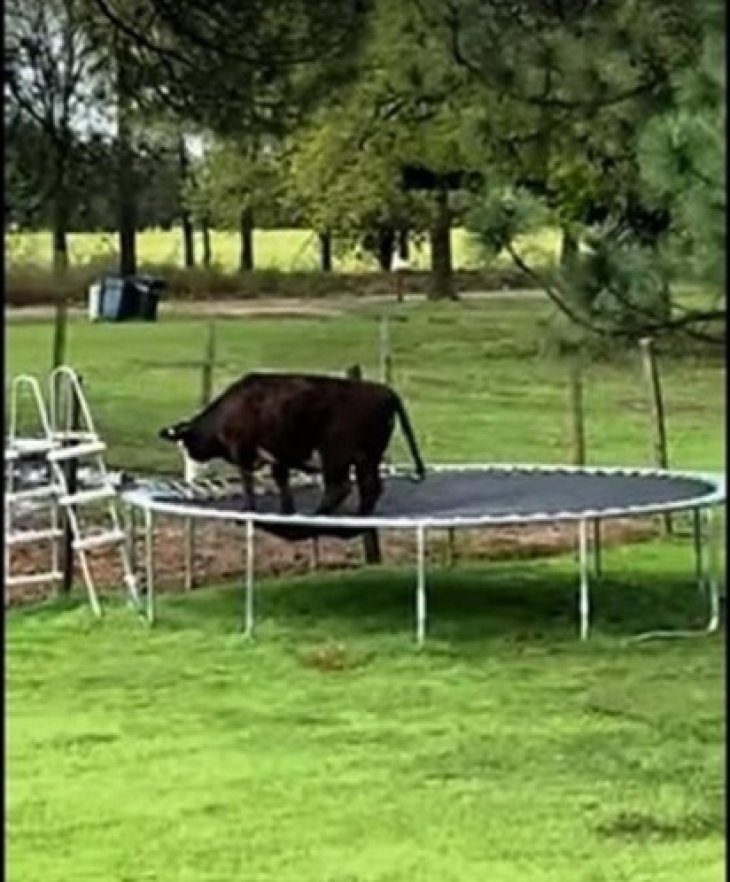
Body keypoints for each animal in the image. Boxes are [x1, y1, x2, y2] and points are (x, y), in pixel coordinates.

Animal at [159, 372, 426, 517]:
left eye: (186, 442)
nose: (193, 459)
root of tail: (385, 391)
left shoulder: (243, 451)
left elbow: (247, 483)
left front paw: (248, 508)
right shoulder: (278, 456)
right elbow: (282, 484)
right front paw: (286, 510)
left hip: (335, 453)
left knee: (340, 487)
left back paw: (319, 514)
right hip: (368, 456)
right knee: (371, 487)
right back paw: (360, 514)